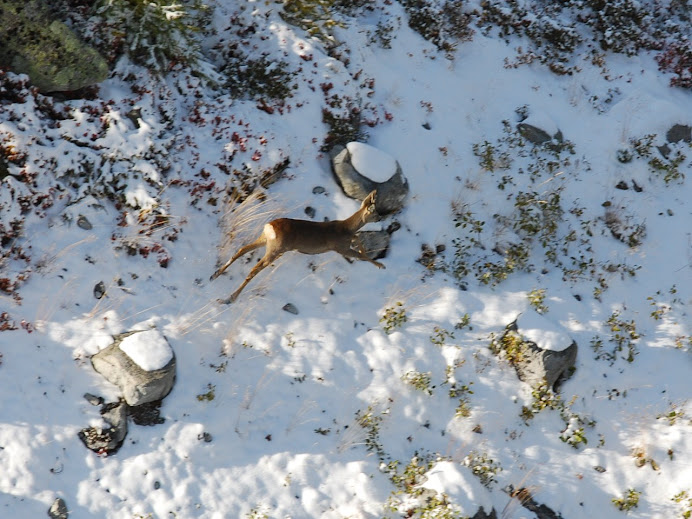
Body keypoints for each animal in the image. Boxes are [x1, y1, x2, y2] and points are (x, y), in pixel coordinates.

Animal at [209, 191, 384, 304]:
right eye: (375, 212)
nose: (382, 217)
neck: (346, 228)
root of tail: (270, 227)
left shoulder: (346, 242)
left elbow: (358, 239)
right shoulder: (340, 247)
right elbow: (361, 254)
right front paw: (381, 265)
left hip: (265, 240)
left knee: (242, 250)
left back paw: (215, 275)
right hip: (275, 249)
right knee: (254, 269)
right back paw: (228, 299)